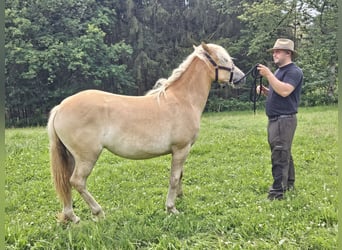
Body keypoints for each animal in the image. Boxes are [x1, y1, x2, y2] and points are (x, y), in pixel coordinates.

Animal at [48, 41, 246, 223]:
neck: (183, 100)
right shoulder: (181, 149)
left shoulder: (182, 150)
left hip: (72, 157)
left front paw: (180, 197)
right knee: (77, 182)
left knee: (66, 182)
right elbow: (174, 178)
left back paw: (72, 216)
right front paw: (171, 208)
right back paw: (98, 212)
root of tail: (60, 107)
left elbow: (180, 175)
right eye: (224, 59)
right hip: (88, 157)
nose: (241, 77)